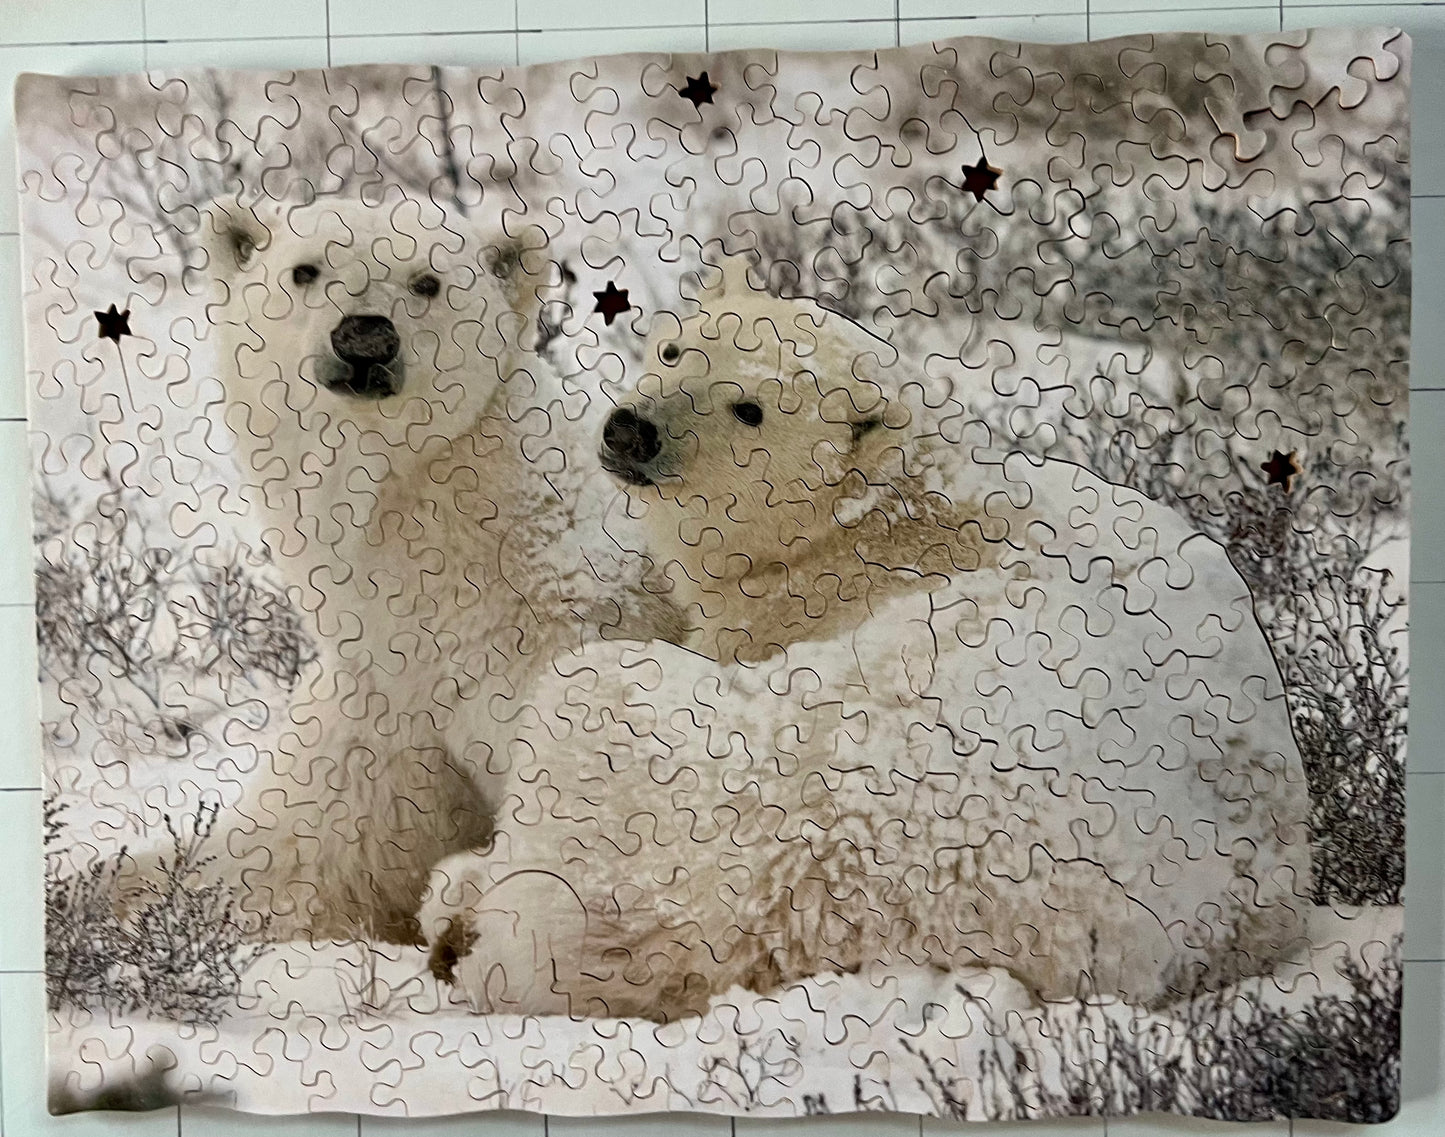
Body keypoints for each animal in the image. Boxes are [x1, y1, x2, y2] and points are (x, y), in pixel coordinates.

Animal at [191, 193, 679, 942]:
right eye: (304, 270)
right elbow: (315, 847)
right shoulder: (384, 698)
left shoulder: (565, 644)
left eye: (427, 282)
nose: (365, 337)